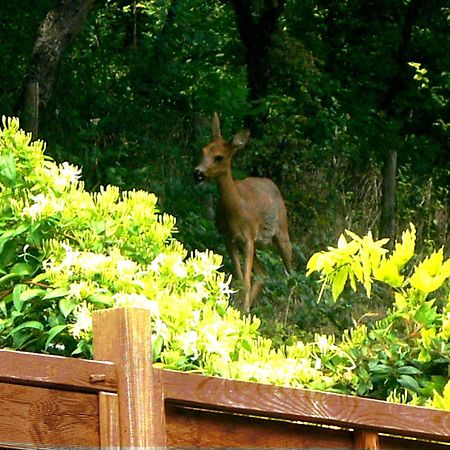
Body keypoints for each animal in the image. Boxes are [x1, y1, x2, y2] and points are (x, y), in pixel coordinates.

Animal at [192, 112, 292, 312]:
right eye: (203, 150)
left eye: (219, 157)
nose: (198, 173)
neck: (236, 210)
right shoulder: (229, 239)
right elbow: (239, 279)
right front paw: (238, 309)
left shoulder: (248, 237)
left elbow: (245, 279)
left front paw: (241, 309)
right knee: (263, 273)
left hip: (282, 232)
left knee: (292, 275)